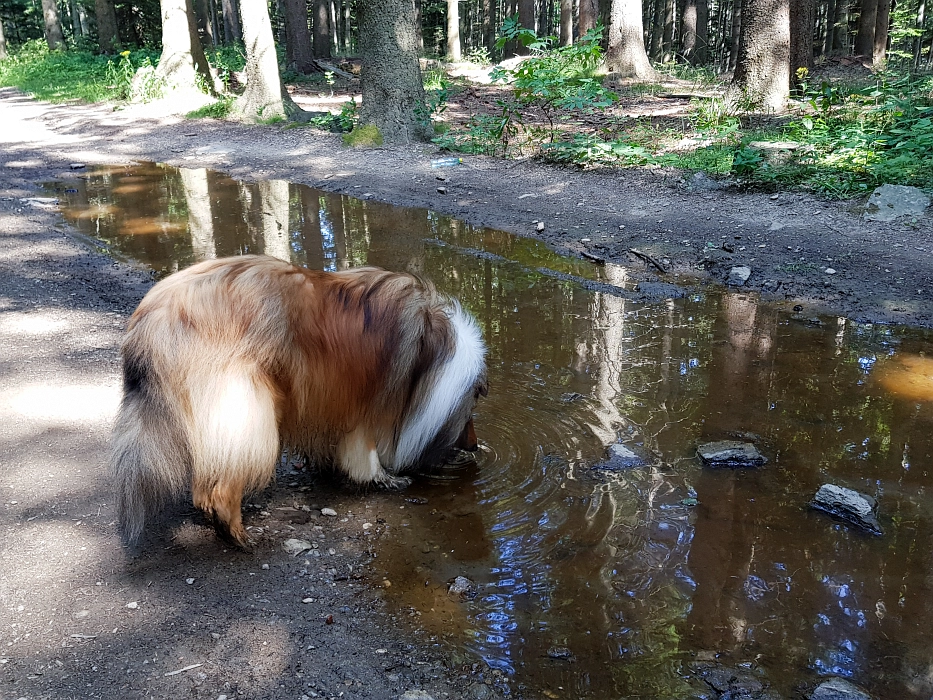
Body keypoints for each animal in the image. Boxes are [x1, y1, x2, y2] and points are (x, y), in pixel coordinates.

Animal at [112, 254, 484, 548]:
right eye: (470, 414)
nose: (475, 446)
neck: (429, 359)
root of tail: (153, 315)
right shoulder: (369, 404)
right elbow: (366, 453)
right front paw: (384, 478)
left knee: (205, 483)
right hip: (247, 404)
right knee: (223, 483)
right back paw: (237, 533)